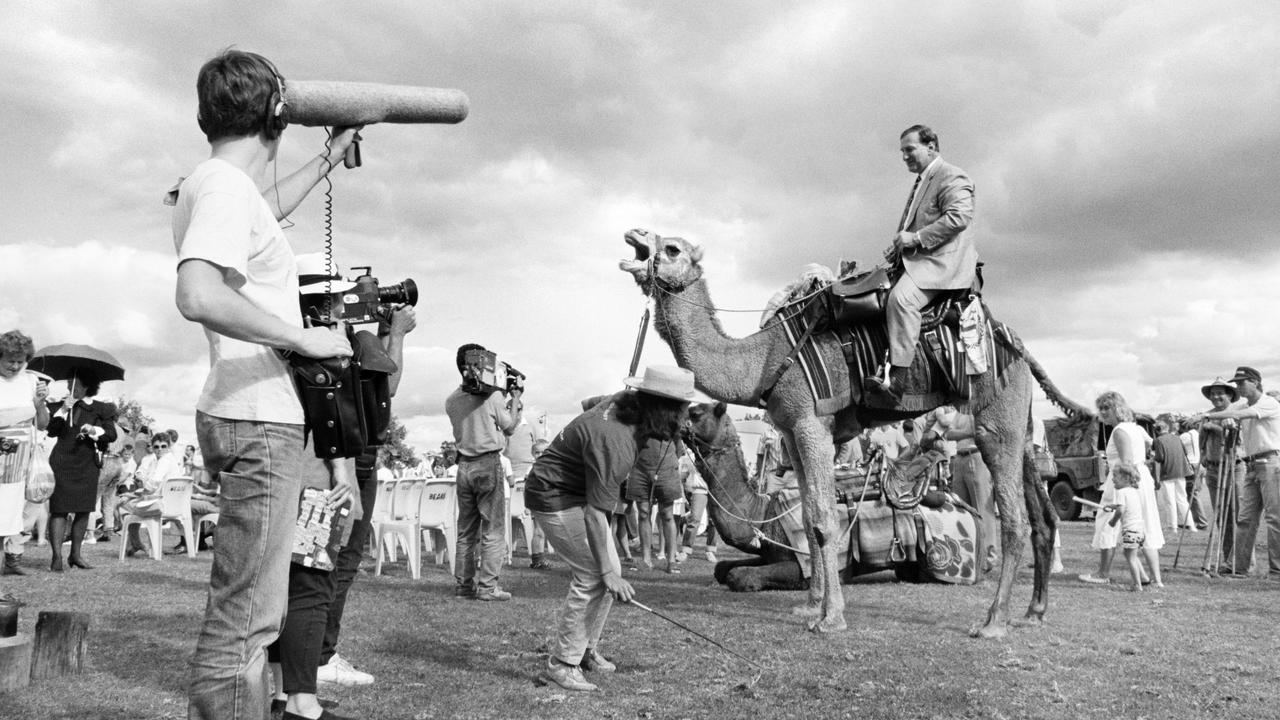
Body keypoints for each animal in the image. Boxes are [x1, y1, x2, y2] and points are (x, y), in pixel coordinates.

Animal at [619, 228, 1080, 632]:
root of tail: (1015, 342)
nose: (633, 236)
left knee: (1013, 518)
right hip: (1021, 426)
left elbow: (823, 521)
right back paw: (1033, 613)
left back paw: (992, 623)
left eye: (673, 248)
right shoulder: (791, 432)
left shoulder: (811, 424)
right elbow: (808, 517)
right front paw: (810, 608)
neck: (764, 359)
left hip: (993, 418)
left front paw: (831, 619)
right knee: (1043, 515)